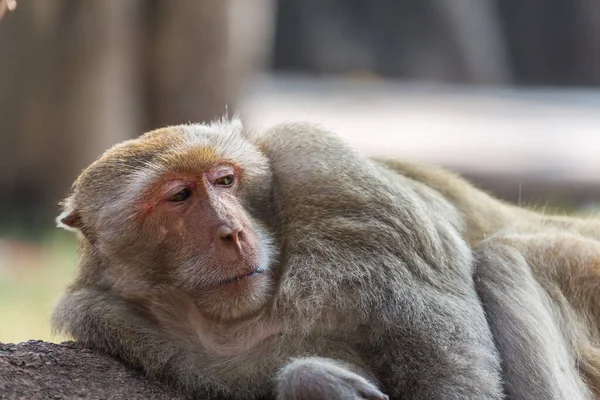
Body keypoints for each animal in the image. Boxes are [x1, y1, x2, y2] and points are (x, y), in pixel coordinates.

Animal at [49, 117, 596, 398]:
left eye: (224, 180)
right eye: (180, 196)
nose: (232, 232)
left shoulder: (328, 171)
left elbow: (452, 368)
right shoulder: (106, 316)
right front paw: (316, 382)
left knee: (503, 259)